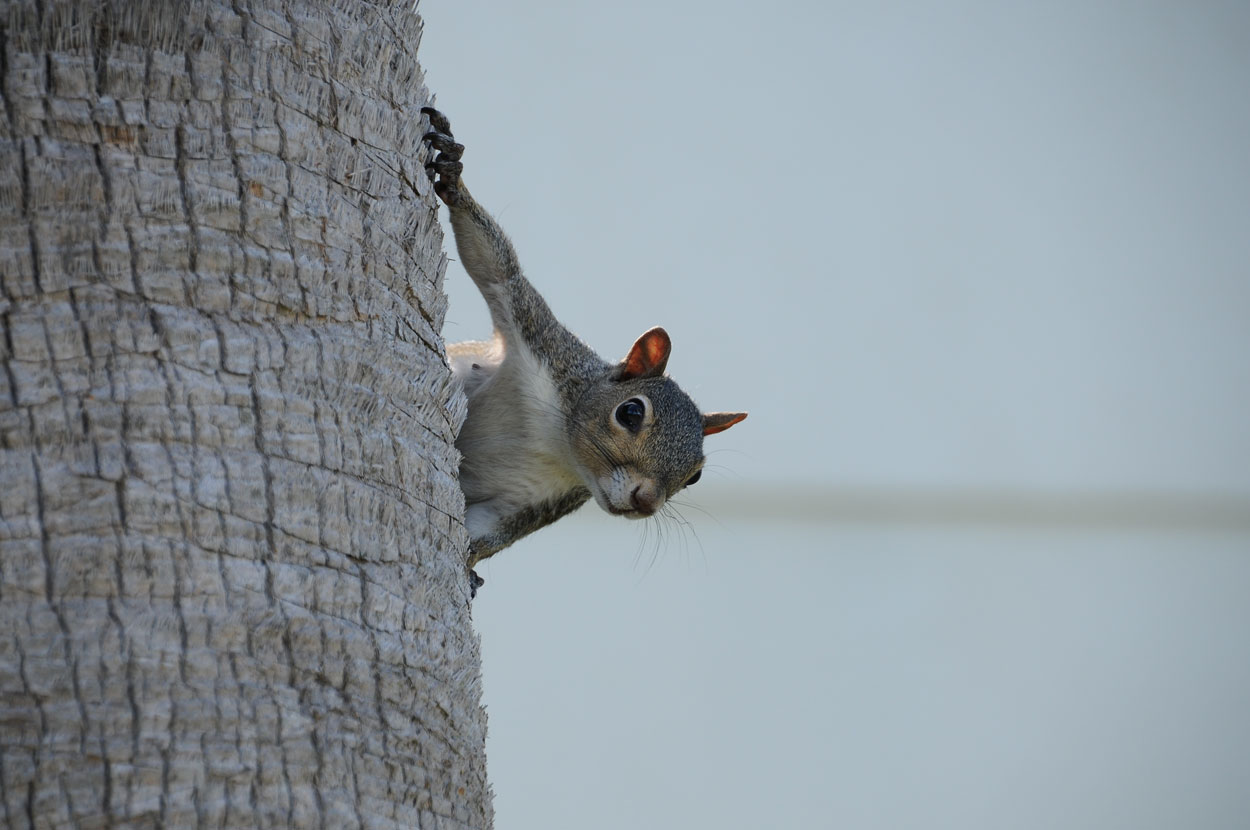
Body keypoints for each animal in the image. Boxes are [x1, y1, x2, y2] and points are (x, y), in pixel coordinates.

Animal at [420, 107, 746, 594]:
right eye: (630, 412)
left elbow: (487, 531)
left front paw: (470, 562)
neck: (555, 441)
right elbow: (498, 270)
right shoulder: (543, 340)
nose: (646, 502)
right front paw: (455, 177)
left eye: (695, 476)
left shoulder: (535, 499)